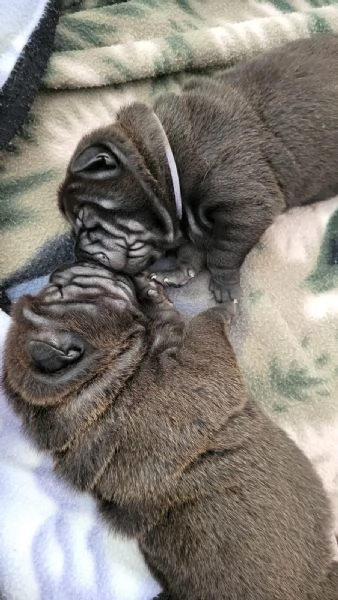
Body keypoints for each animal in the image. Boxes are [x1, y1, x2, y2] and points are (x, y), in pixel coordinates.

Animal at [2, 264, 338, 600]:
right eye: (60, 291)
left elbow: (168, 319)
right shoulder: (200, 368)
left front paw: (153, 289)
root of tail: (317, 582)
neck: (101, 377)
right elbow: (202, 325)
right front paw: (223, 308)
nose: (58, 271)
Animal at [58, 34, 338, 302]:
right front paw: (176, 272)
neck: (167, 157)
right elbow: (191, 251)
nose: (81, 255)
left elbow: (224, 250)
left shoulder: (247, 207)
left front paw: (224, 287)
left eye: (84, 219)